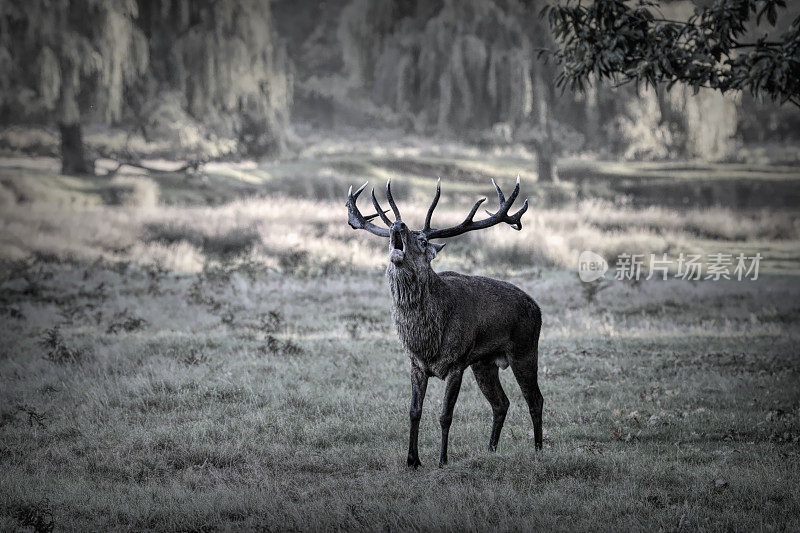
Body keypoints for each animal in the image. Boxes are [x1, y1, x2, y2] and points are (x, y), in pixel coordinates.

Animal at [346, 177, 544, 468]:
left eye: (422, 239)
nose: (398, 225)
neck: (428, 339)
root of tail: (537, 308)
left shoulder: (457, 362)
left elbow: (444, 414)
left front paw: (442, 460)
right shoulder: (416, 364)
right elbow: (414, 410)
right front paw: (412, 460)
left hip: (524, 349)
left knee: (535, 399)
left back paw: (539, 450)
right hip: (484, 363)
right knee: (501, 403)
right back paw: (491, 449)